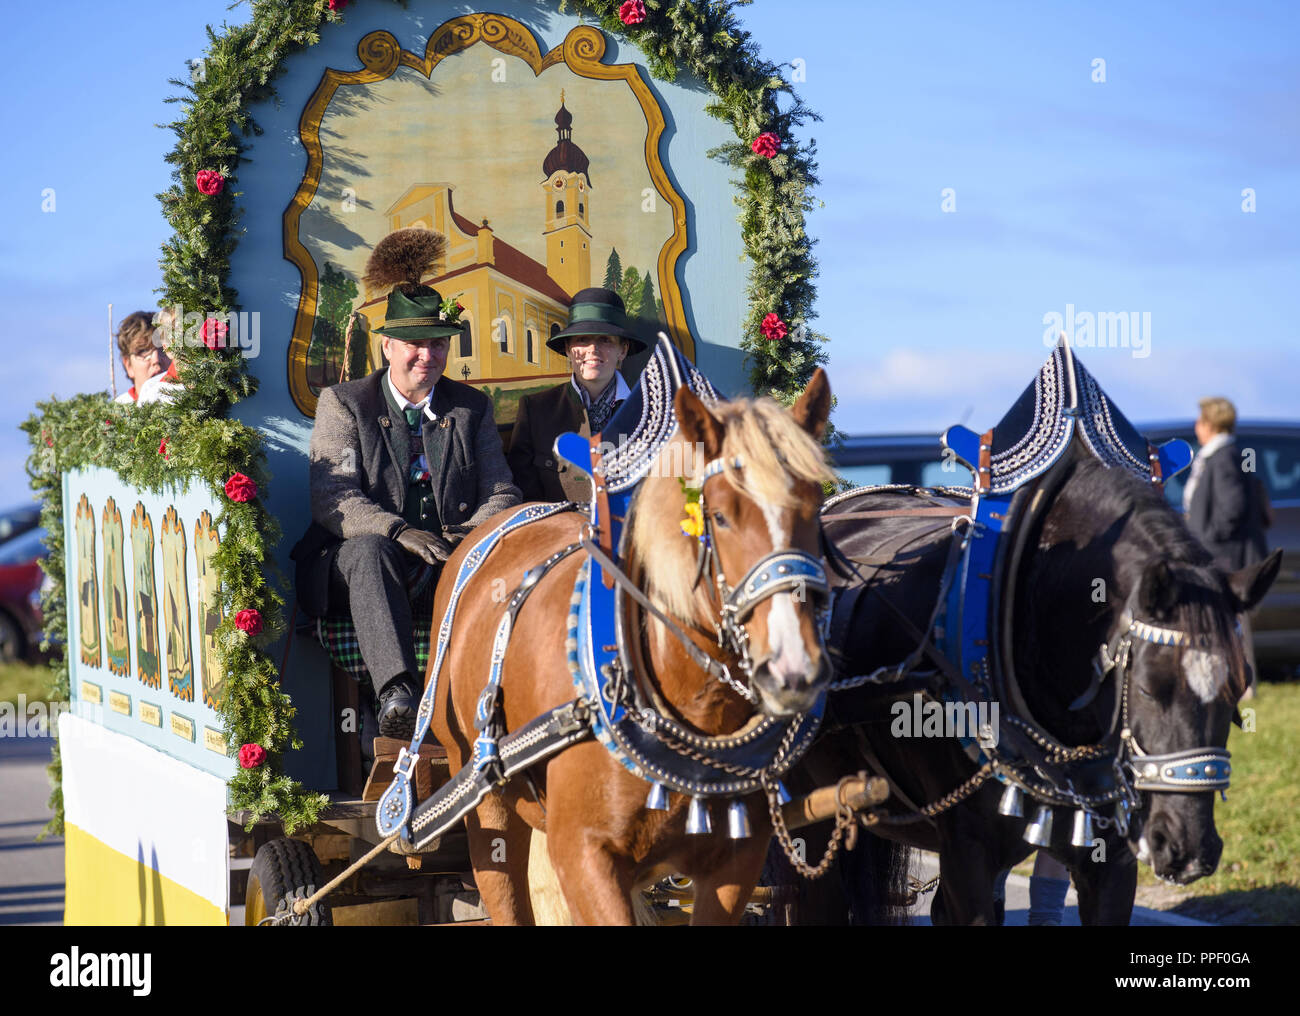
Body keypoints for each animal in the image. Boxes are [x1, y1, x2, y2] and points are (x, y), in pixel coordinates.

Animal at [426, 368, 832, 925]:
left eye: (815, 508)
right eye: (720, 516)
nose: (793, 669)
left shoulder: (737, 863)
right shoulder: (584, 854)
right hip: (481, 792)